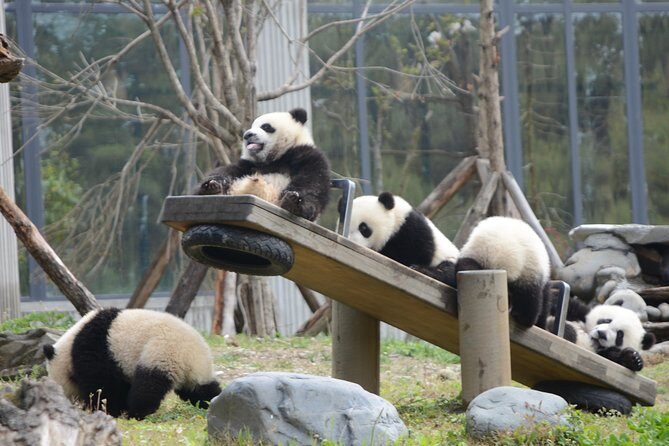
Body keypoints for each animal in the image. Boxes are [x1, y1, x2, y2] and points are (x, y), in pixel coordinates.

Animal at [43, 308, 221, 419]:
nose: (69, 401)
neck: (70, 345)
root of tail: (191, 355)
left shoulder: (95, 350)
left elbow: (103, 385)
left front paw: (104, 409)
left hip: (161, 353)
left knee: (148, 387)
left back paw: (136, 413)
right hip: (196, 371)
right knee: (200, 389)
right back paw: (211, 402)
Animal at [196, 108, 330, 222]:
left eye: (265, 126)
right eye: (251, 126)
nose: (247, 135)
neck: (273, 158)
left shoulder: (304, 154)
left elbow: (312, 181)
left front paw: (295, 201)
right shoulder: (248, 165)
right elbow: (228, 170)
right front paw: (213, 183)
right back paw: (213, 189)